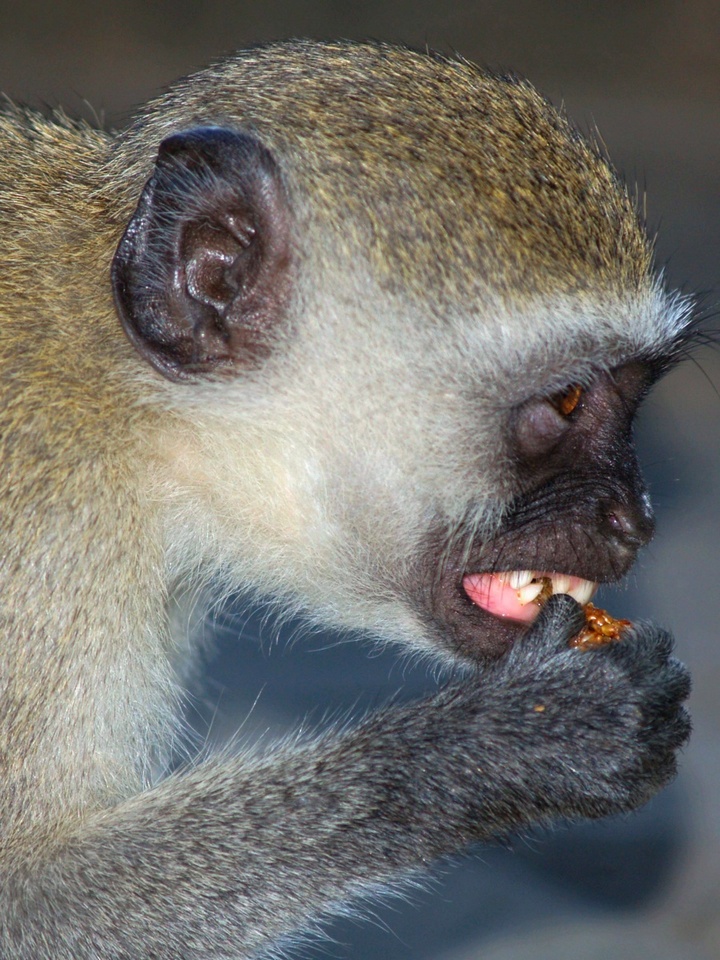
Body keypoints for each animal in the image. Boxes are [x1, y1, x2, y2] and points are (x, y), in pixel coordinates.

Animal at [0, 39, 693, 959]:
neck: (136, 407)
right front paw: (494, 745)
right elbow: (28, 898)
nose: (636, 519)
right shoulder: (48, 548)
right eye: (570, 399)